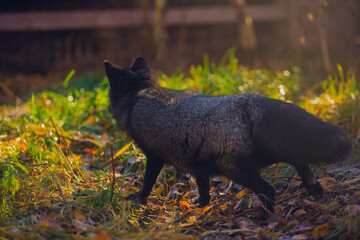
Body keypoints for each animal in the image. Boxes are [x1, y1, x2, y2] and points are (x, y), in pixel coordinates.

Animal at [102, 56, 350, 219]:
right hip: (273, 153)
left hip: (235, 170)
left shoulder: (154, 156)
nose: (107, 108)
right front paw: (200, 207)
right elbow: (203, 189)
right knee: (301, 163)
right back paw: (315, 190)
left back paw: (261, 217)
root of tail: (256, 101)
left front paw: (139, 198)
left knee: (269, 190)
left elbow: (148, 182)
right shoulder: (197, 163)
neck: (140, 95)